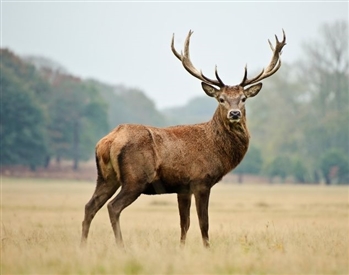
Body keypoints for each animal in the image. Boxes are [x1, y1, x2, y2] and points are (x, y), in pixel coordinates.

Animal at [81, 29, 286, 249]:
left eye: (243, 98)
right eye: (221, 99)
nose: (234, 113)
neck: (217, 149)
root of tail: (109, 141)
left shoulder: (183, 187)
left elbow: (184, 223)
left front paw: (181, 247)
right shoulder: (201, 180)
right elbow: (203, 222)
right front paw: (207, 248)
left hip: (106, 177)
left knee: (90, 206)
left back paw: (83, 244)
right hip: (135, 178)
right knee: (113, 207)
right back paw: (121, 246)